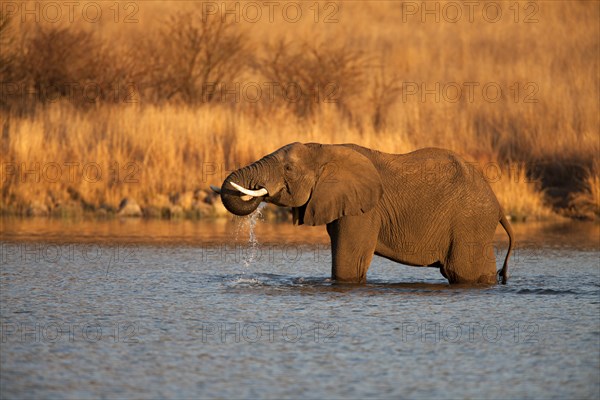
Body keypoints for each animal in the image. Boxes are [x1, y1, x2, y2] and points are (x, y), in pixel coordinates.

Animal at [209, 143, 512, 284]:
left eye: (288, 169)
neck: (325, 149)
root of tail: (498, 206)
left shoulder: (365, 211)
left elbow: (348, 266)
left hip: (469, 224)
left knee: (462, 272)